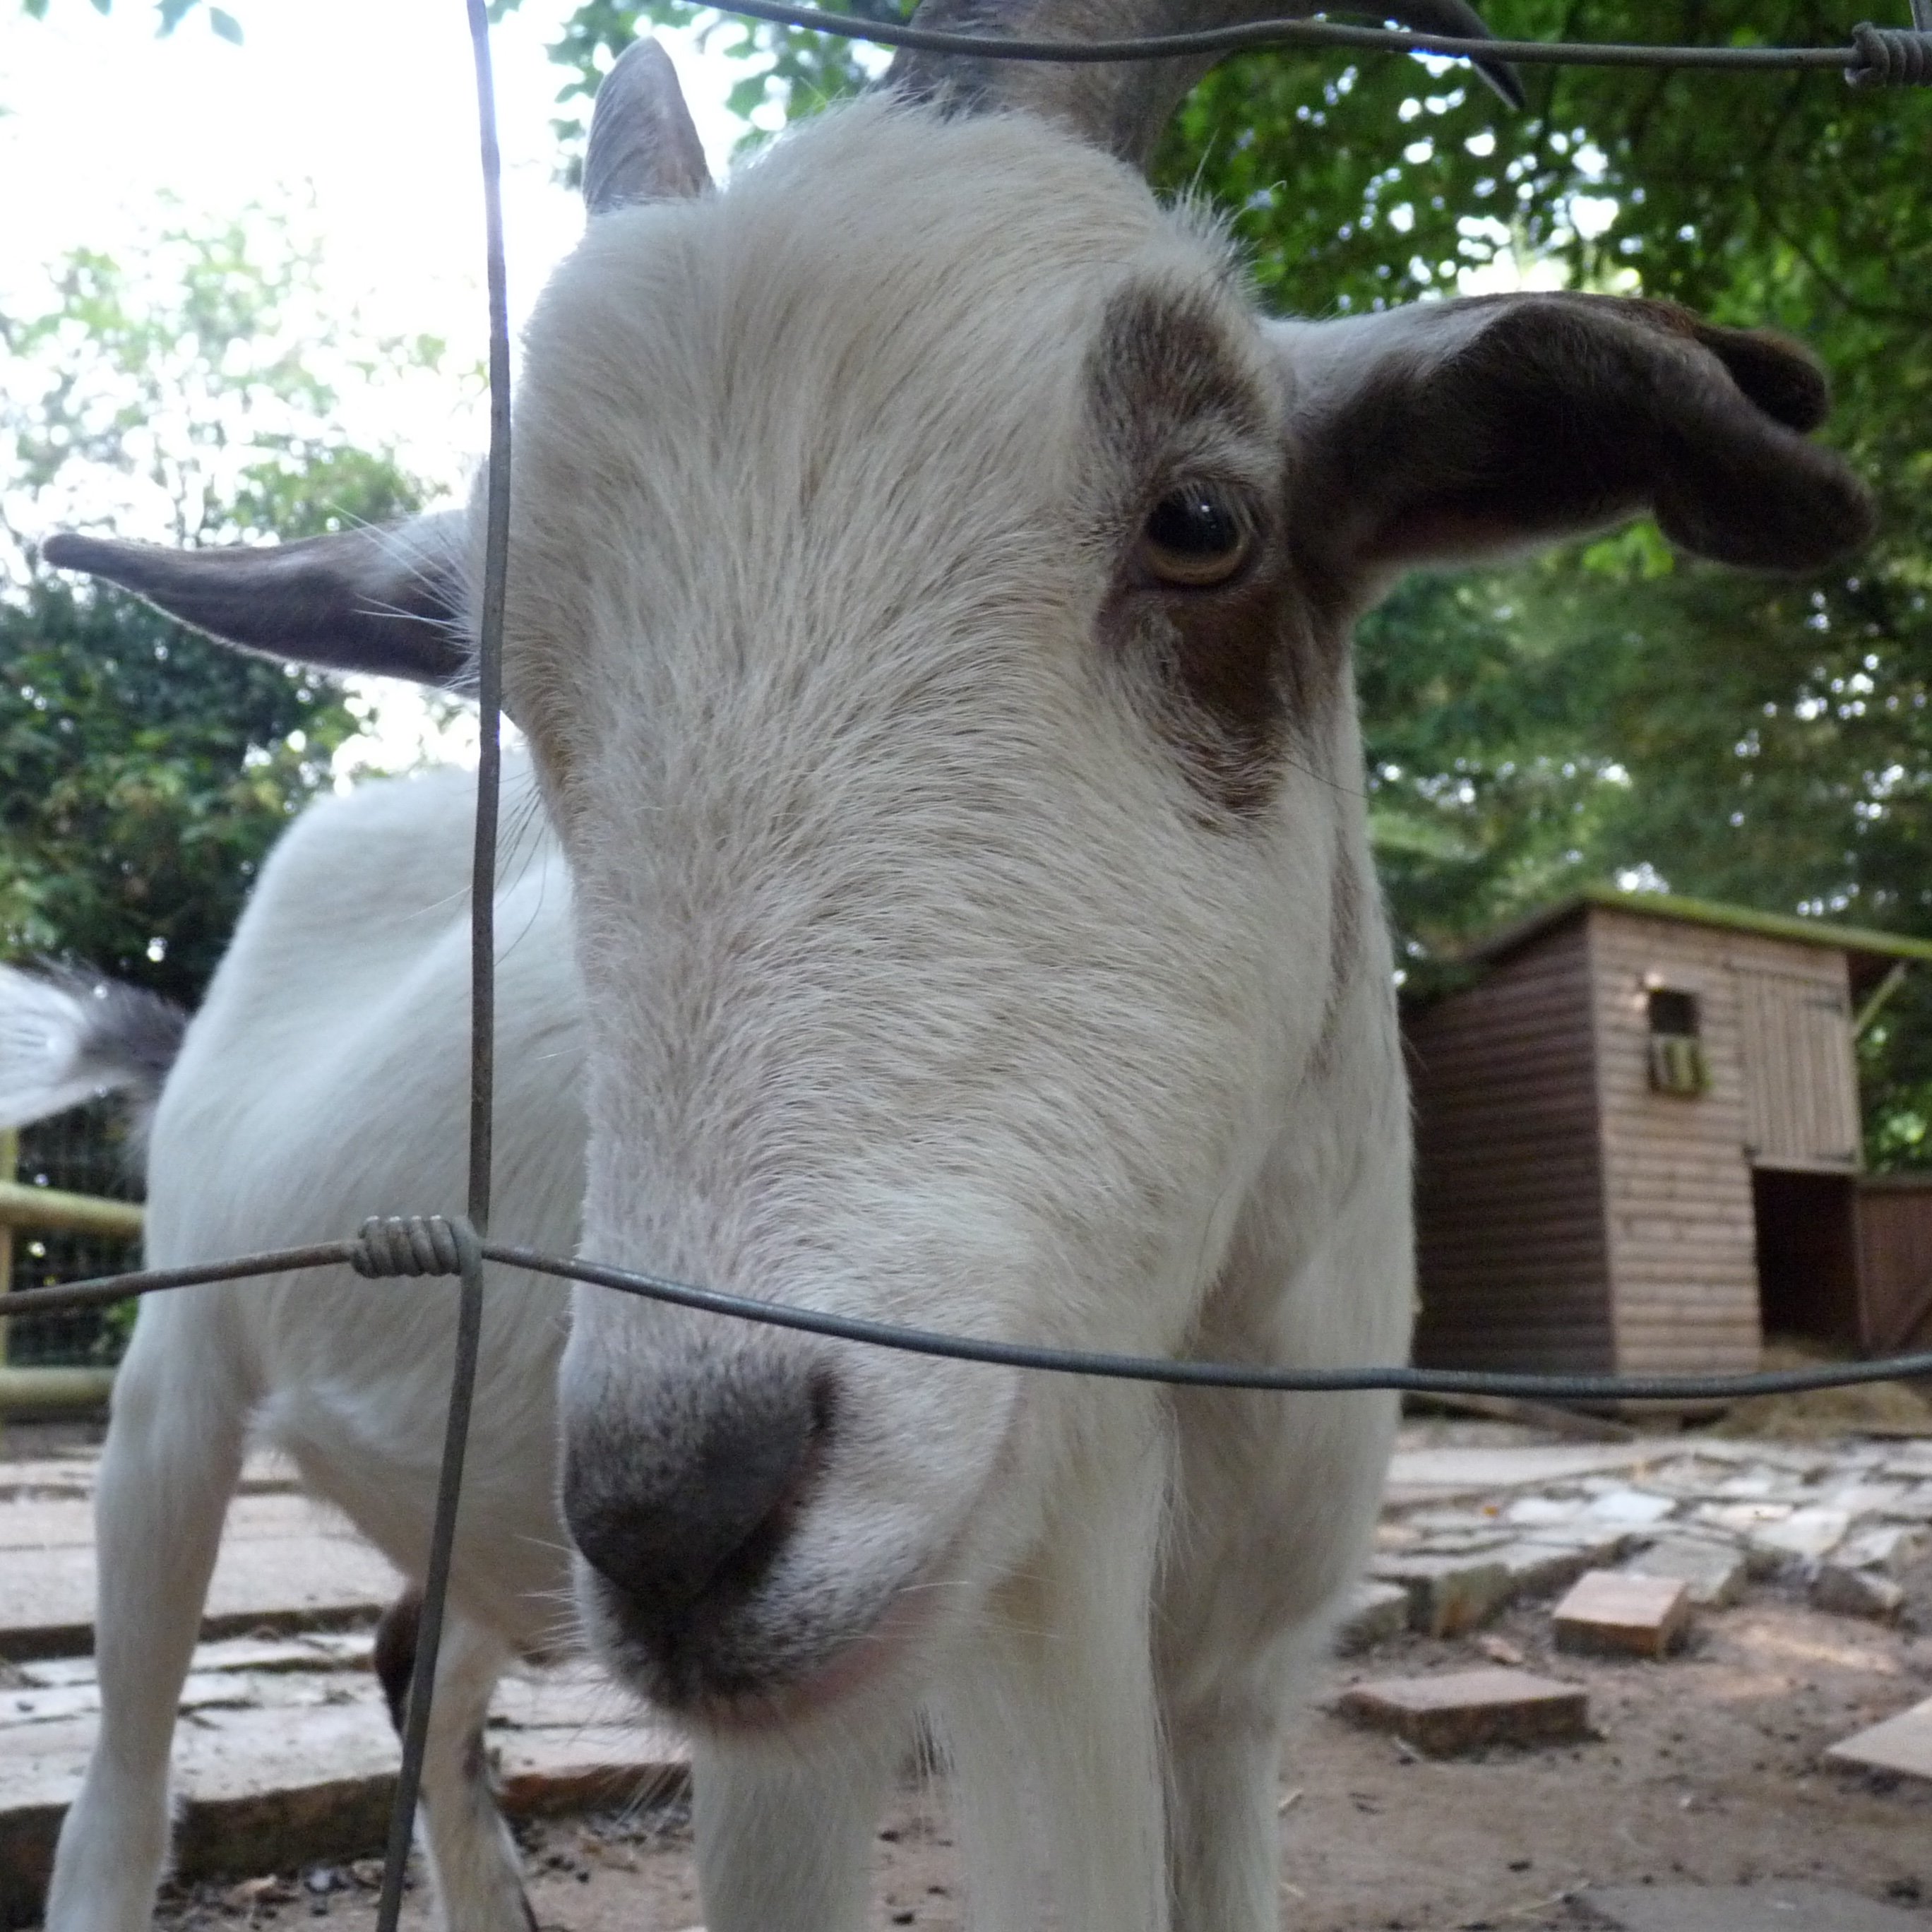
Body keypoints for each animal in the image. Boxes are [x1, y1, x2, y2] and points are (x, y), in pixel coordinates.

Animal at [18, 7, 1870, 1924]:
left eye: (1203, 518)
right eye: (510, 681)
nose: (680, 1521)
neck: (1199, 1370)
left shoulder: (1230, 1685)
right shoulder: (878, 1719)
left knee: (414, 1666)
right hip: (173, 1383)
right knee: (125, 1780)